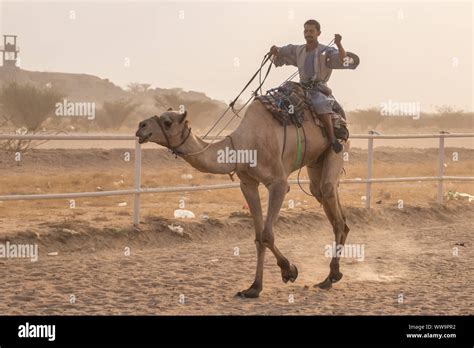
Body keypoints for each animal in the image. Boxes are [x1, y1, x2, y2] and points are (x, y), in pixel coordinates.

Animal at [135, 101, 350, 300]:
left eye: (167, 122)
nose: (141, 126)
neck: (242, 147)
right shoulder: (247, 183)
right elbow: (258, 237)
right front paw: (254, 288)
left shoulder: (278, 183)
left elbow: (267, 235)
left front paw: (289, 271)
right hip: (316, 161)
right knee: (324, 196)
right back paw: (331, 273)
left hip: (338, 147)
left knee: (331, 199)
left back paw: (331, 277)